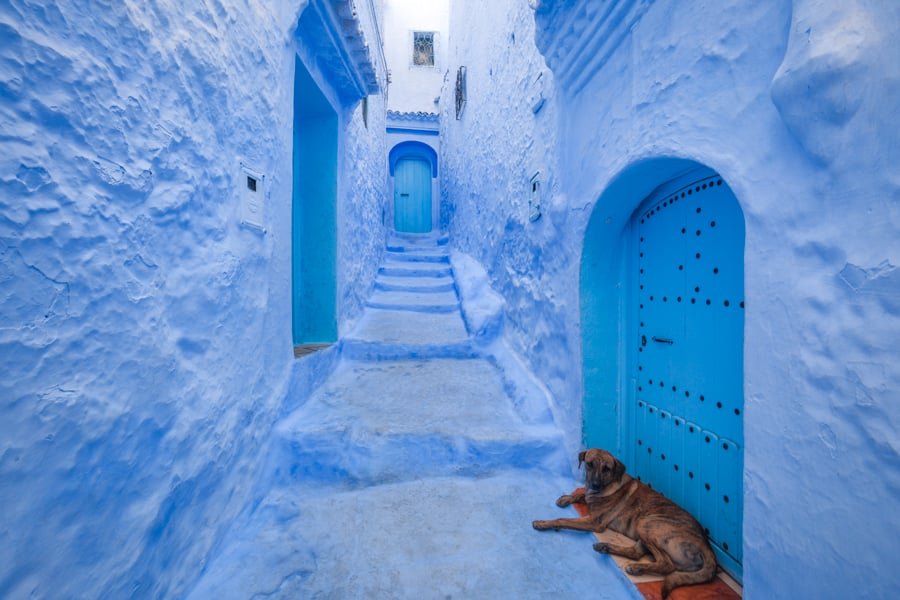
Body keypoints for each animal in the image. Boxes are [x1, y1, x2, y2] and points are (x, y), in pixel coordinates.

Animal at [536, 448, 716, 596]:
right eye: (589, 464)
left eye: (606, 468)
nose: (595, 485)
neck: (610, 483)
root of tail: (707, 548)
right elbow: (582, 495)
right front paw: (567, 498)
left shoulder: (594, 522)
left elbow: (563, 519)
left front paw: (543, 523)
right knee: (636, 553)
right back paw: (605, 547)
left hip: (647, 523)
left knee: (666, 564)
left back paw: (636, 567)